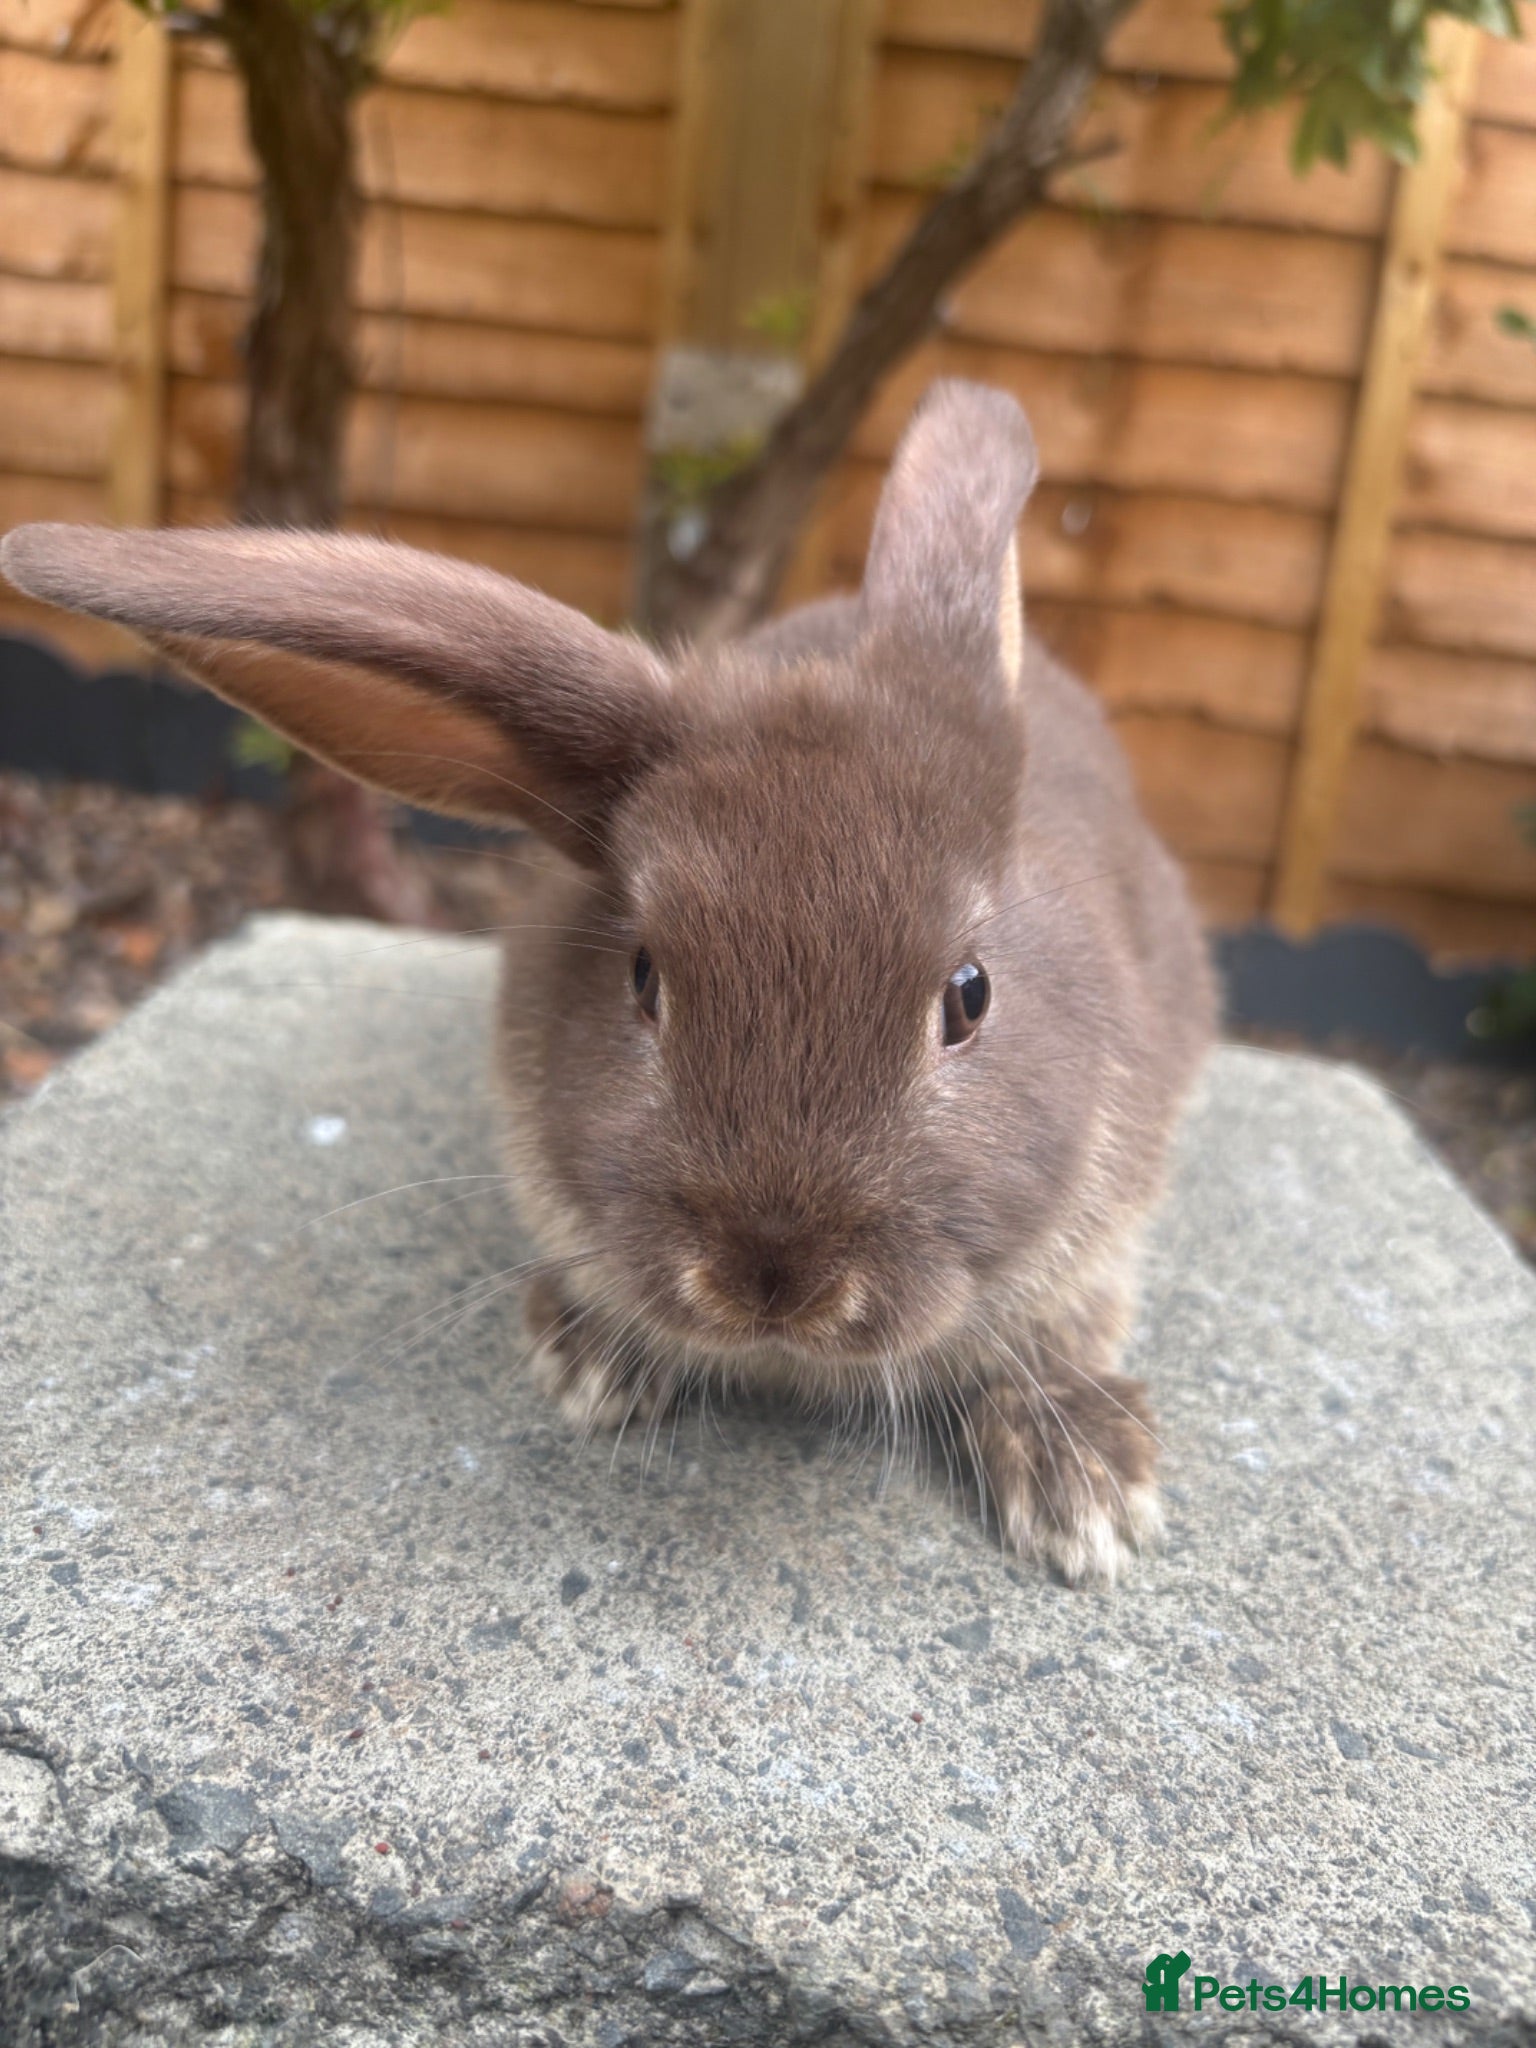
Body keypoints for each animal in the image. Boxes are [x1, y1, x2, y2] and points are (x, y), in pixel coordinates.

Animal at [0, 379, 1215, 1583]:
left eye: (969, 994)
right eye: (643, 975)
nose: (773, 1279)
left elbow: (1061, 1330)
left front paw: (1087, 1493)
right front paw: (588, 1363)